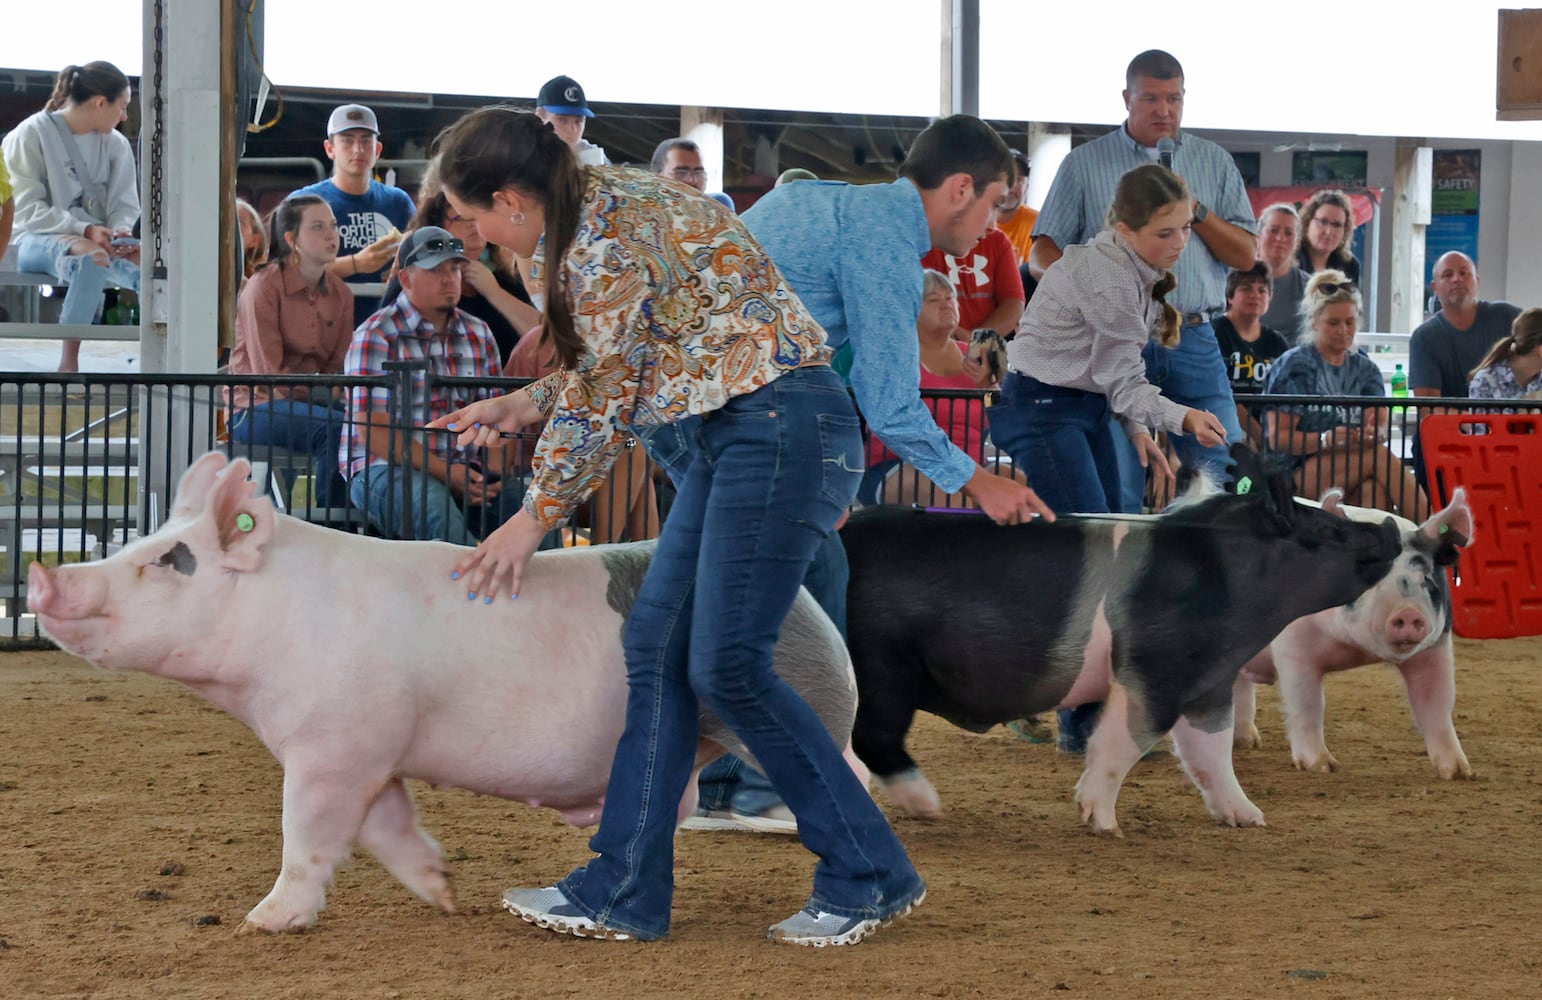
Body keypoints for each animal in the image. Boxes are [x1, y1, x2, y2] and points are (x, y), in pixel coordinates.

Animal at [24, 453, 863, 930]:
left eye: (170, 561)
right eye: (143, 541)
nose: (42, 575)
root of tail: (807, 603)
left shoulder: (333, 746)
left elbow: (307, 834)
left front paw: (261, 922)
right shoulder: (374, 751)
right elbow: (387, 828)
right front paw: (445, 895)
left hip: (805, 698)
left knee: (845, 773)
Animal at [1233, 486, 1474, 779]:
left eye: (1427, 579)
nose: (1407, 613)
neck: (1356, 650)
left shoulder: (1435, 648)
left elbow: (1437, 705)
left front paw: (1461, 773)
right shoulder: (1293, 646)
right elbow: (1306, 703)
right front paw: (1323, 767)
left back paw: (1248, 742)